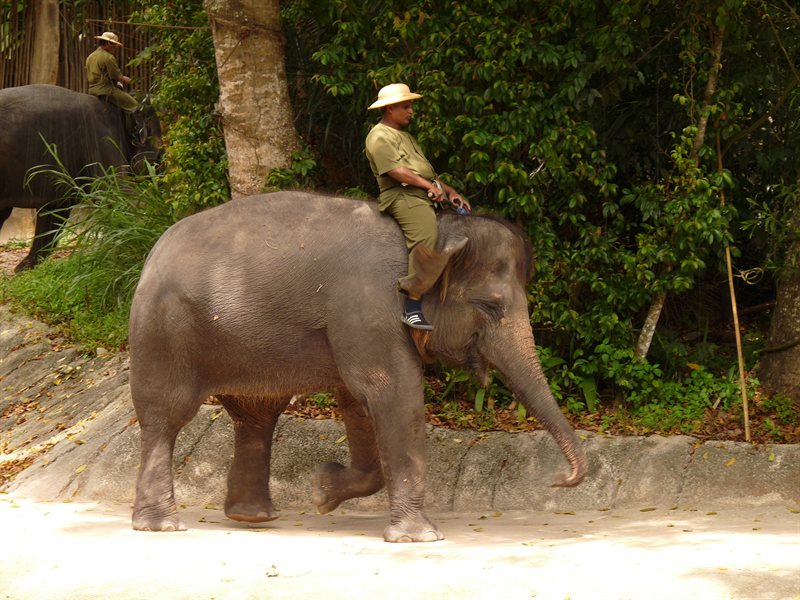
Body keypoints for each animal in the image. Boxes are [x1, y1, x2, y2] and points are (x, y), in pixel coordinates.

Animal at [128, 191, 588, 542]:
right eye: (491, 307)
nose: (558, 481)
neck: (434, 233)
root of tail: (151, 255)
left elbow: (357, 401)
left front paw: (322, 491)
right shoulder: (371, 309)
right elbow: (392, 392)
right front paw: (420, 537)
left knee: (257, 414)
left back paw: (252, 516)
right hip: (163, 333)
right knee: (165, 417)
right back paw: (161, 526)